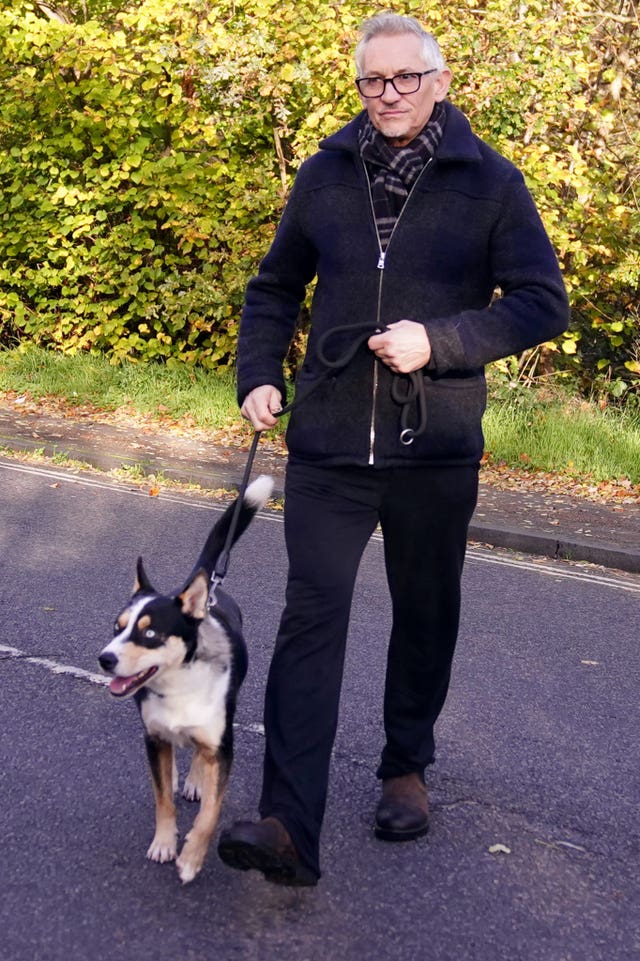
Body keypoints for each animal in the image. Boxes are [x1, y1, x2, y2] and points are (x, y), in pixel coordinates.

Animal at [97, 474, 272, 884]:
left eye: (149, 634)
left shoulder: (223, 746)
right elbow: (162, 797)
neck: (177, 685)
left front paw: (192, 857)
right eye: (117, 627)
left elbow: (211, 812)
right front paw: (164, 842)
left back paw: (193, 779)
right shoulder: (153, 738)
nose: (105, 659)